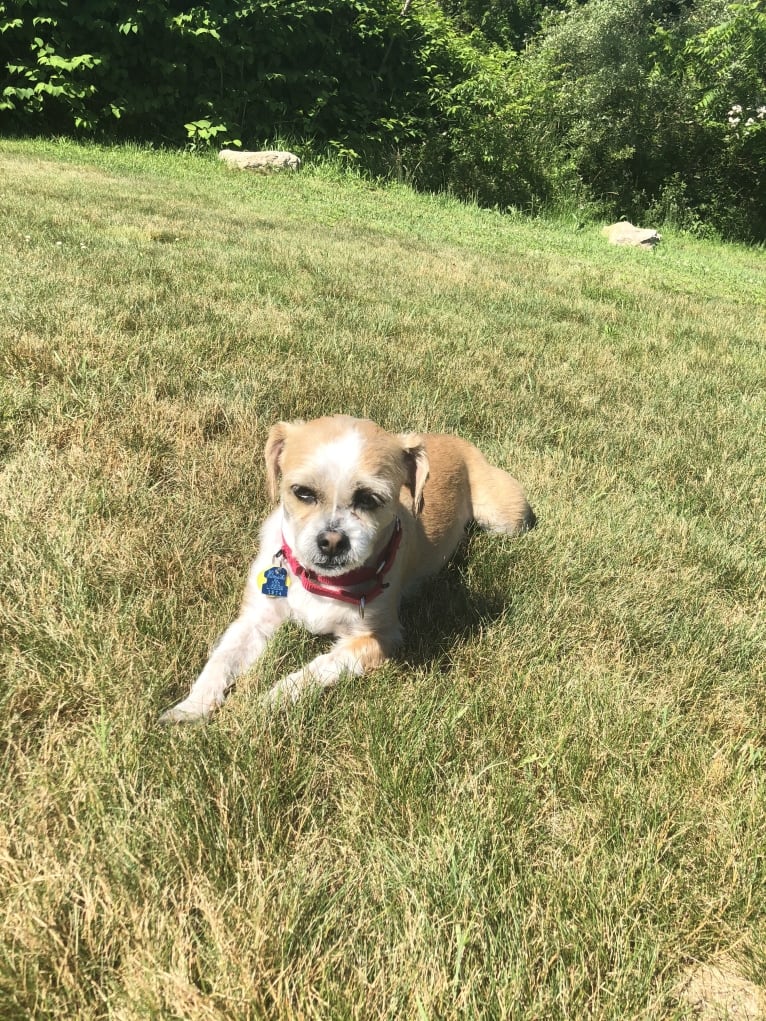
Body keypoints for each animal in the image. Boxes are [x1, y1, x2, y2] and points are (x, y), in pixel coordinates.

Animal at [159, 410, 535, 722]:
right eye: (302, 492)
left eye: (370, 499)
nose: (332, 541)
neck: (321, 582)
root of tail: (457, 440)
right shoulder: (257, 618)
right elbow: (222, 658)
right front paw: (190, 707)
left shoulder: (379, 637)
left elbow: (319, 667)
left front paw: (270, 700)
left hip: (504, 518)